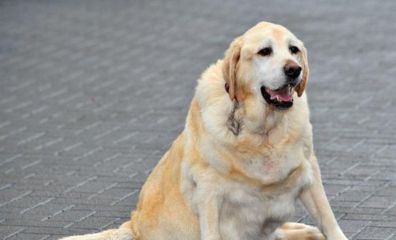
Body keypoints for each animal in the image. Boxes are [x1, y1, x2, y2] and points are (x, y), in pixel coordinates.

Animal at [62, 21, 346, 239]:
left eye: (293, 50)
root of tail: (132, 227)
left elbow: (329, 220)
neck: (264, 132)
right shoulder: (209, 191)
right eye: (265, 51)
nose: (294, 70)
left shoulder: (308, 171)